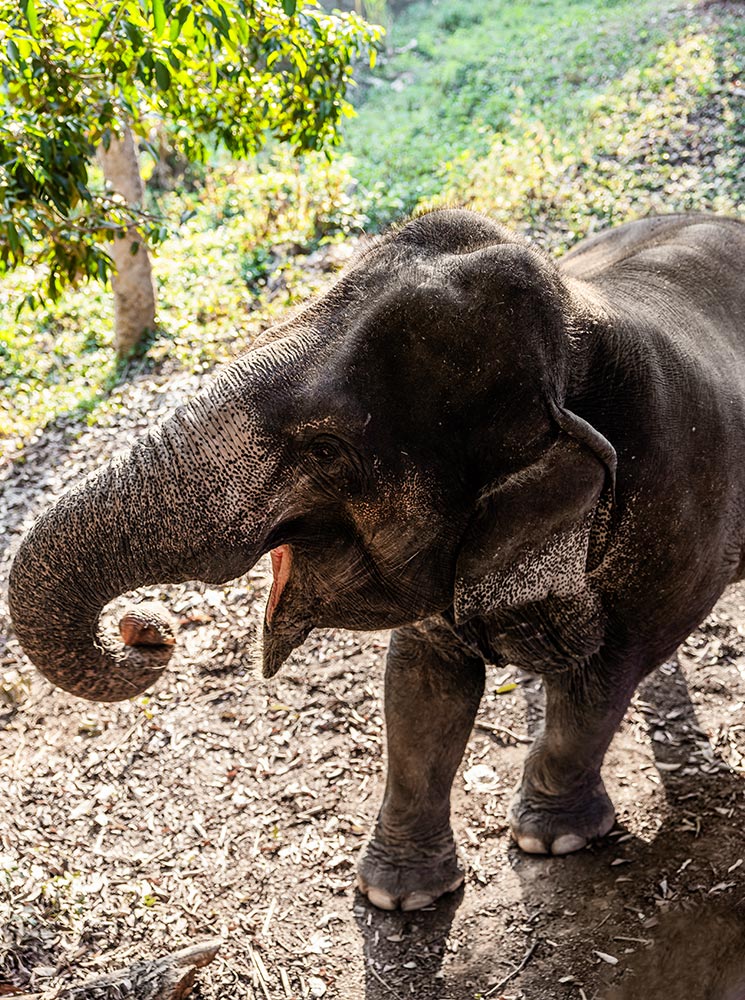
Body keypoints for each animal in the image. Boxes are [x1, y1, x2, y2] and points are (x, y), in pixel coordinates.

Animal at [8, 211, 744, 916]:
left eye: (325, 450)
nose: (148, 628)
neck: (576, 345)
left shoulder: (673, 532)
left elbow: (600, 681)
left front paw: (553, 840)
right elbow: (420, 688)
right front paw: (399, 897)